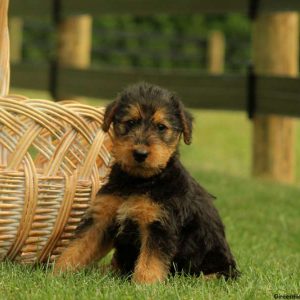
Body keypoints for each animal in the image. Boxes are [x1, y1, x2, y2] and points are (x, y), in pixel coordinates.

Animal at [54, 82, 239, 284]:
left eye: (161, 127)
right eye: (130, 122)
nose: (140, 154)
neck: (137, 182)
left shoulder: (159, 224)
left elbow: (150, 262)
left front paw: (144, 285)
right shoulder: (101, 219)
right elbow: (77, 247)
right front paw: (56, 275)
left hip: (217, 270)